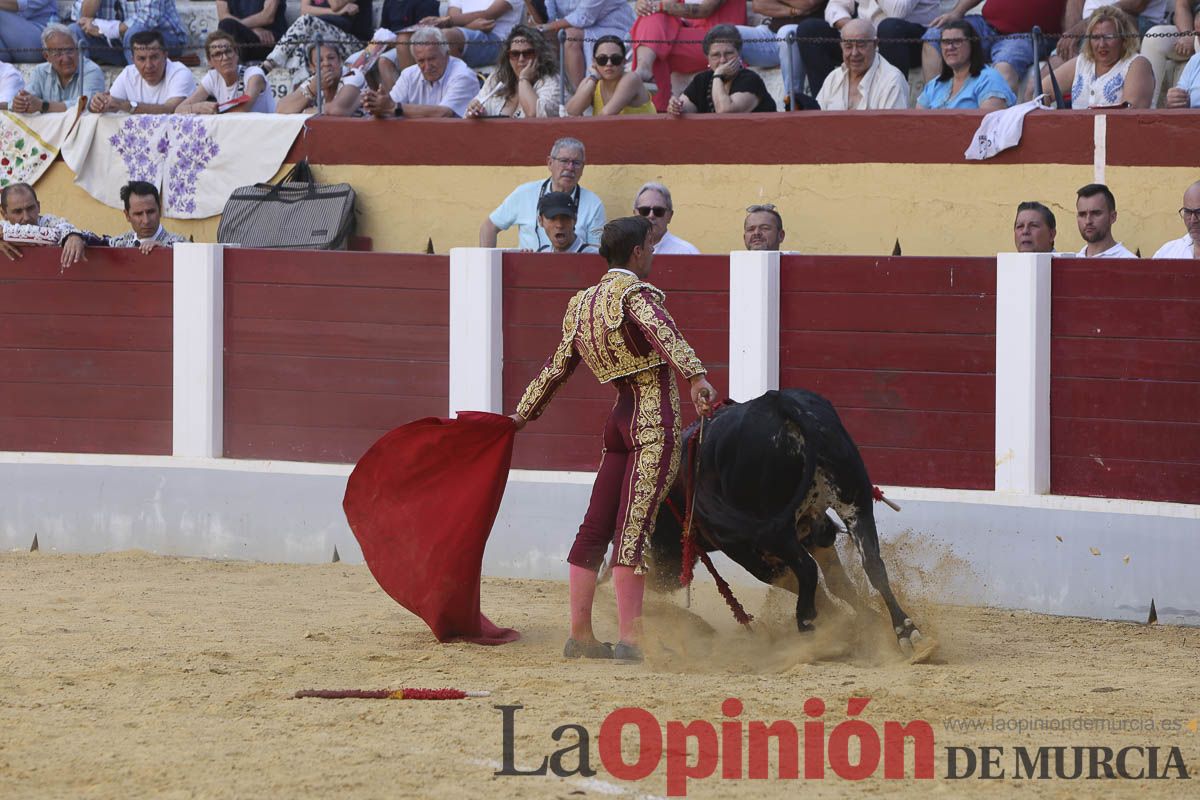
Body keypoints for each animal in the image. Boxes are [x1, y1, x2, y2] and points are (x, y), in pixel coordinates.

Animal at [648, 388, 926, 657]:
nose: (658, 579)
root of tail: (782, 405)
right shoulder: (811, 528)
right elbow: (836, 582)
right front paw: (865, 623)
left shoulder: (744, 548)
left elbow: (792, 580)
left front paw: (843, 625)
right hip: (855, 500)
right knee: (873, 564)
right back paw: (907, 632)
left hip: (772, 531)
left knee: (808, 569)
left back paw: (807, 625)